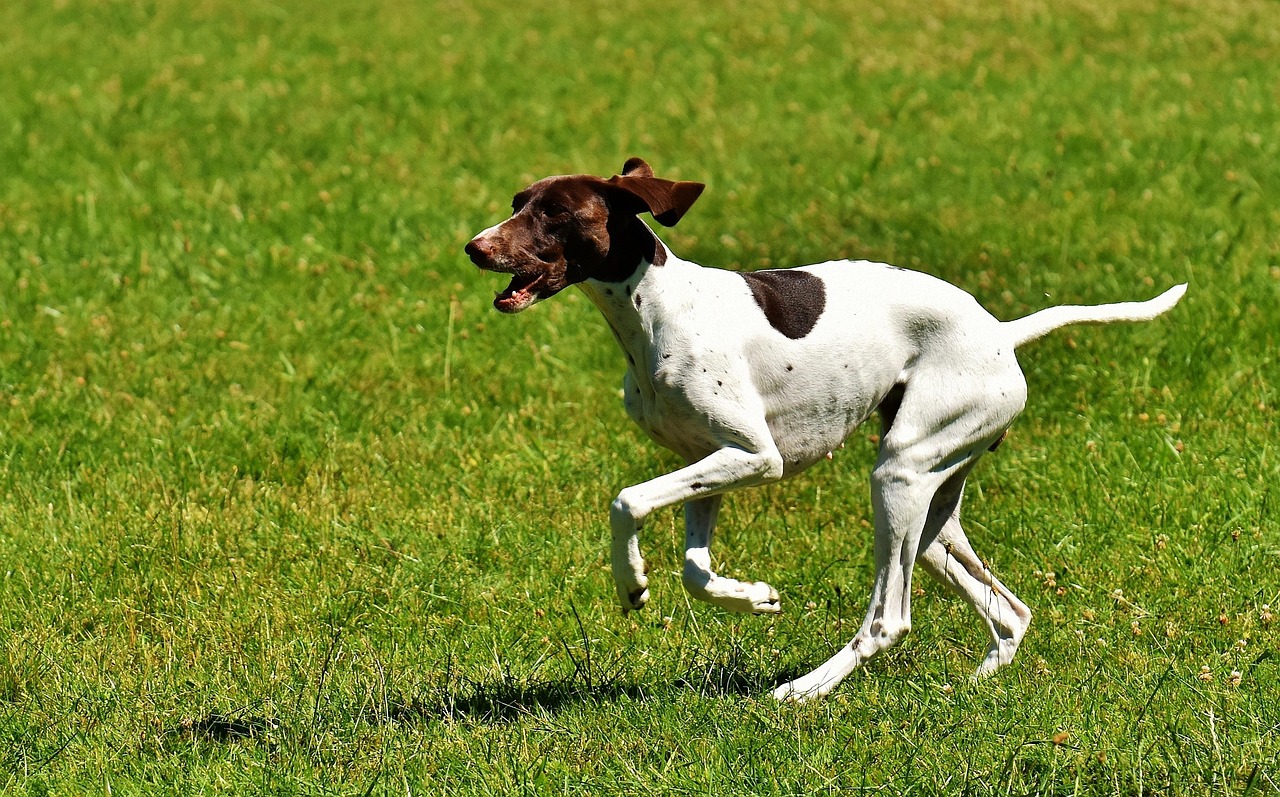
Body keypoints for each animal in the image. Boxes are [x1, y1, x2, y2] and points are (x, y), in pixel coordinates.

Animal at [465, 159, 1182, 701]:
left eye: (555, 213)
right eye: (518, 202)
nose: (474, 247)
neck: (657, 310)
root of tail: (1000, 333)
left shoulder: (757, 457)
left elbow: (628, 500)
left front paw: (632, 582)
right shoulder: (712, 464)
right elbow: (697, 571)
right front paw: (754, 598)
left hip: (898, 475)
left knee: (889, 619)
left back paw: (804, 690)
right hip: (933, 508)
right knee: (1009, 610)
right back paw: (970, 687)